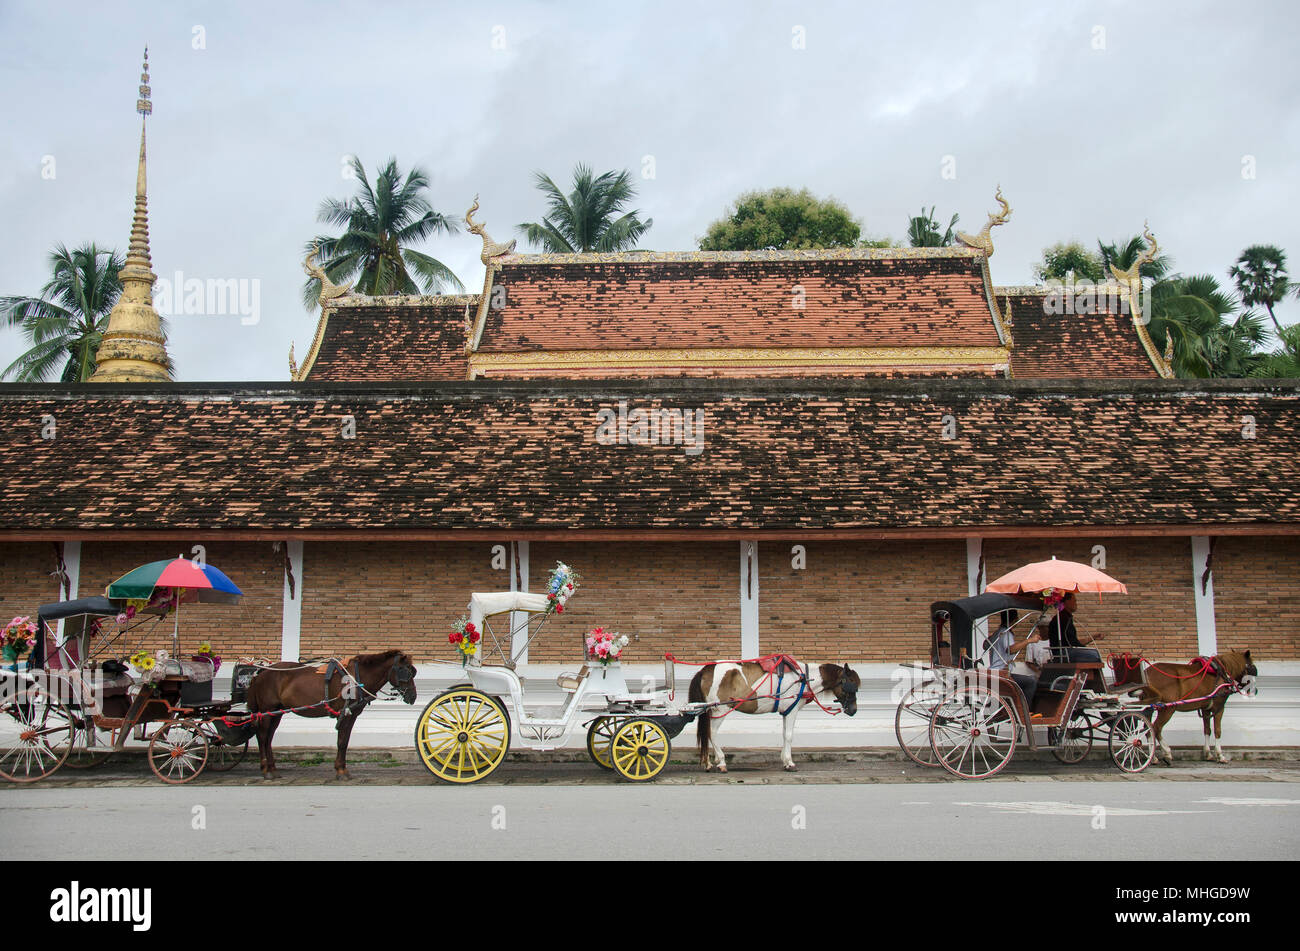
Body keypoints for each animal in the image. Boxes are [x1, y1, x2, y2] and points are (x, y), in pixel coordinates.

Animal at [245, 649, 418, 784]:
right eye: (405, 671)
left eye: (413, 671)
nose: (413, 696)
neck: (357, 677)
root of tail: (261, 672)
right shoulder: (345, 713)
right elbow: (341, 741)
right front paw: (341, 771)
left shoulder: (352, 714)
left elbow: (345, 741)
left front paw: (342, 769)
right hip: (267, 709)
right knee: (262, 736)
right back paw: (266, 770)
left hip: (277, 711)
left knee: (269, 737)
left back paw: (273, 769)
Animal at [686, 657, 857, 774]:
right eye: (850, 684)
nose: (853, 710)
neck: (802, 678)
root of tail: (705, 670)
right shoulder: (792, 710)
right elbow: (789, 735)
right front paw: (790, 763)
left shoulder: (786, 711)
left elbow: (784, 734)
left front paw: (785, 760)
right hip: (720, 710)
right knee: (712, 733)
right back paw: (721, 762)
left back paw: (708, 763)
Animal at [1128, 646, 1258, 763]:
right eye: (1252, 666)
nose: (1254, 690)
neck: (1222, 673)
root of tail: (1146, 673)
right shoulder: (1219, 707)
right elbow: (1217, 730)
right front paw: (1220, 755)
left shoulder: (1206, 709)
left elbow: (1207, 729)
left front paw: (1208, 754)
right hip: (1167, 709)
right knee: (1156, 728)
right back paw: (1167, 753)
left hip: (1150, 706)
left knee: (1148, 729)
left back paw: (1153, 757)